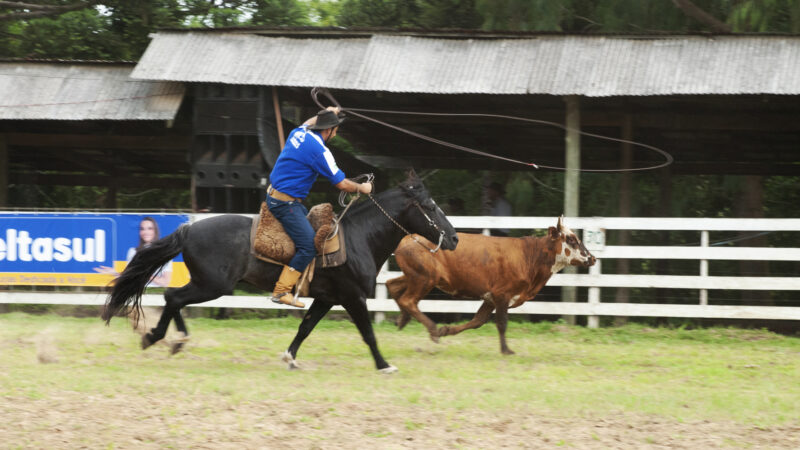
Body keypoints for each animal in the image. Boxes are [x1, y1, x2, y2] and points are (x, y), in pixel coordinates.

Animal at [103, 169, 460, 372]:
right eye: (430, 207)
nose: (454, 238)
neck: (360, 237)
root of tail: (189, 229)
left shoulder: (327, 298)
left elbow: (305, 328)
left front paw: (290, 357)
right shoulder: (352, 297)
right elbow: (368, 333)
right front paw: (384, 365)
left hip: (208, 284)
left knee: (173, 298)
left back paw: (172, 340)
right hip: (212, 285)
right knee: (173, 297)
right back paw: (160, 337)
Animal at [384, 216, 596, 354]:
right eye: (571, 239)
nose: (592, 258)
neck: (530, 256)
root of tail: (407, 238)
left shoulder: (490, 298)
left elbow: (477, 321)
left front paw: (448, 330)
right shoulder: (502, 295)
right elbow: (501, 323)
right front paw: (506, 350)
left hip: (415, 276)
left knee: (392, 285)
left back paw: (403, 320)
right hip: (425, 278)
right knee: (408, 300)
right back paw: (431, 329)